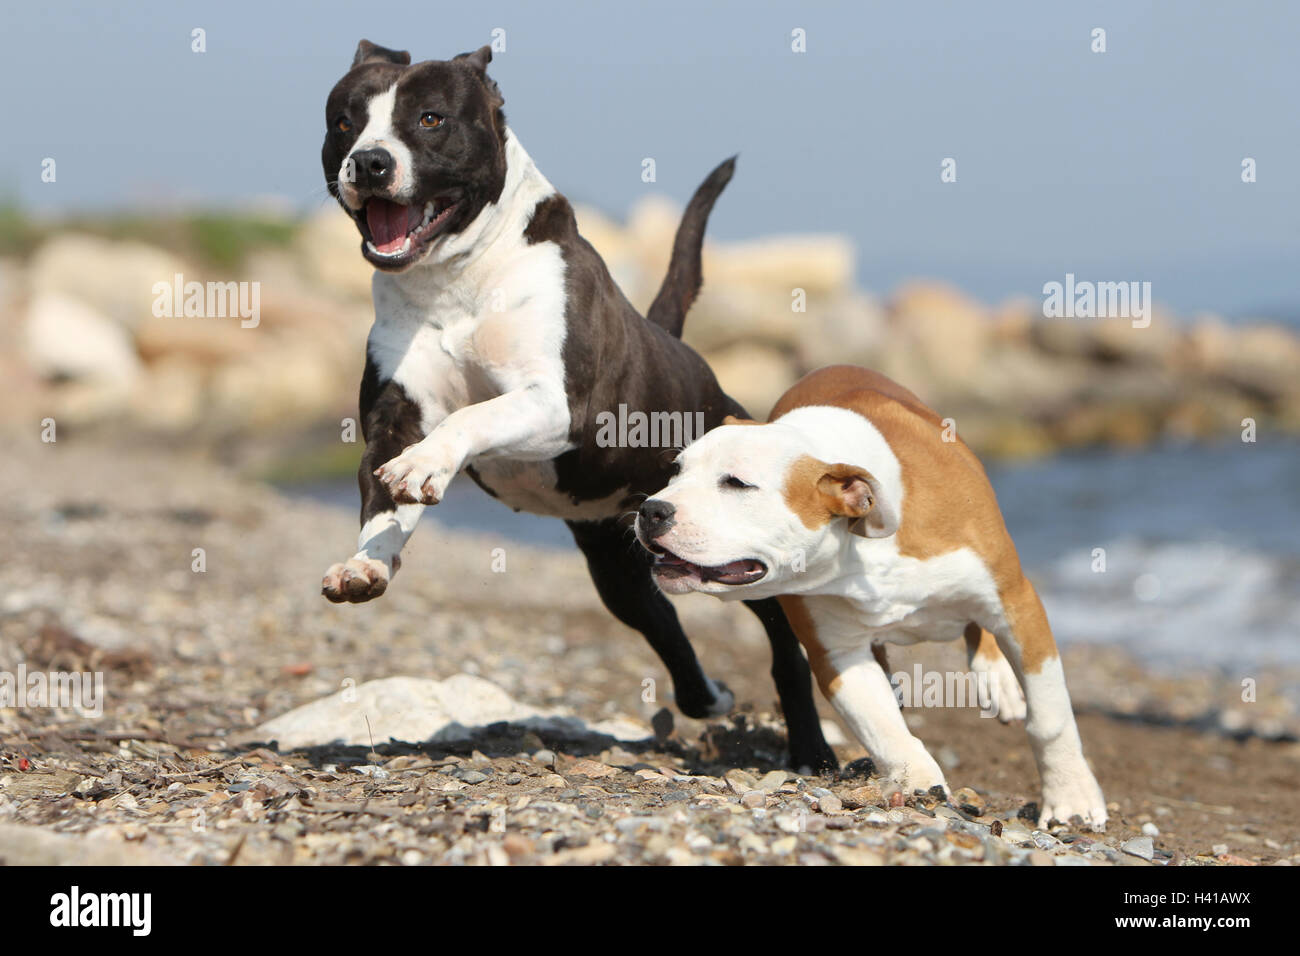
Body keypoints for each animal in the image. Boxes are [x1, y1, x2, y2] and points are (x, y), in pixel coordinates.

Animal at [314, 41, 832, 770]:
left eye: (430, 119)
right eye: (345, 122)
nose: (370, 162)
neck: (455, 278)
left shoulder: (562, 404)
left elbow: (475, 417)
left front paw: (428, 465)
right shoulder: (394, 419)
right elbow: (382, 496)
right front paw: (366, 564)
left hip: (742, 552)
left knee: (785, 646)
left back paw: (811, 749)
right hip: (619, 564)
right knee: (662, 623)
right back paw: (709, 698)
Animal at [634, 366, 1102, 832]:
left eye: (736, 483)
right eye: (676, 471)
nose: (652, 510)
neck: (856, 532)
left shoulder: (1017, 603)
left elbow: (1050, 718)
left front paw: (1071, 797)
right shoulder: (838, 654)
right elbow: (882, 726)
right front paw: (918, 781)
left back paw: (997, 676)